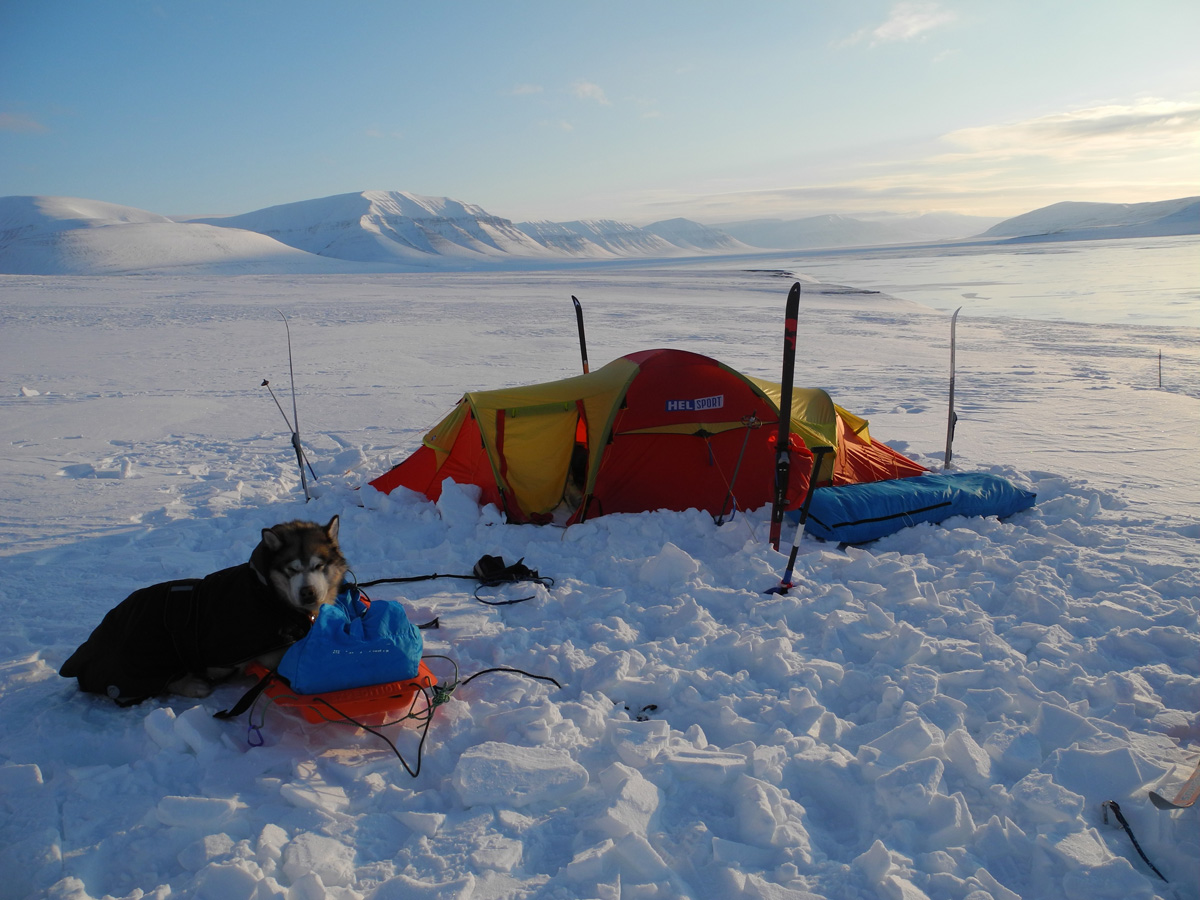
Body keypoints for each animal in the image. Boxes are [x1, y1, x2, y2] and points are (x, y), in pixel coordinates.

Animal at [59, 518, 348, 710]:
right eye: (292, 569)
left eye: (319, 566)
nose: (308, 593)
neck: (268, 593)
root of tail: (89, 647)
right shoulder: (270, 654)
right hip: (147, 660)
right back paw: (193, 684)